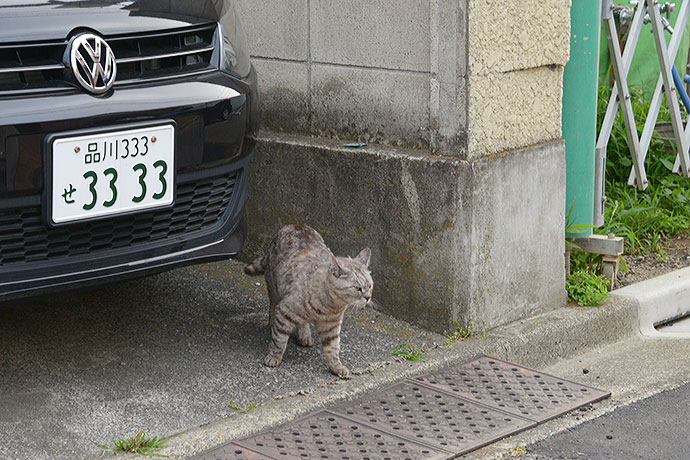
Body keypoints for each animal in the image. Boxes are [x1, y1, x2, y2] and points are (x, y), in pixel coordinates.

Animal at [243, 223, 370, 378]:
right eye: (358, 288)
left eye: (370, 286)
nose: (368, 297)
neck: (330, 306)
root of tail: (294, 224)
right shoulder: (284, 310)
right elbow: (279, 341)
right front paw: (273, 357)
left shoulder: (331, 326)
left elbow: (333, 348)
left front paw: (336, 367)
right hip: (274, 289)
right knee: (273, 307)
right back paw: (273, 325)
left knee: (302, 322)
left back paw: (304, 335)